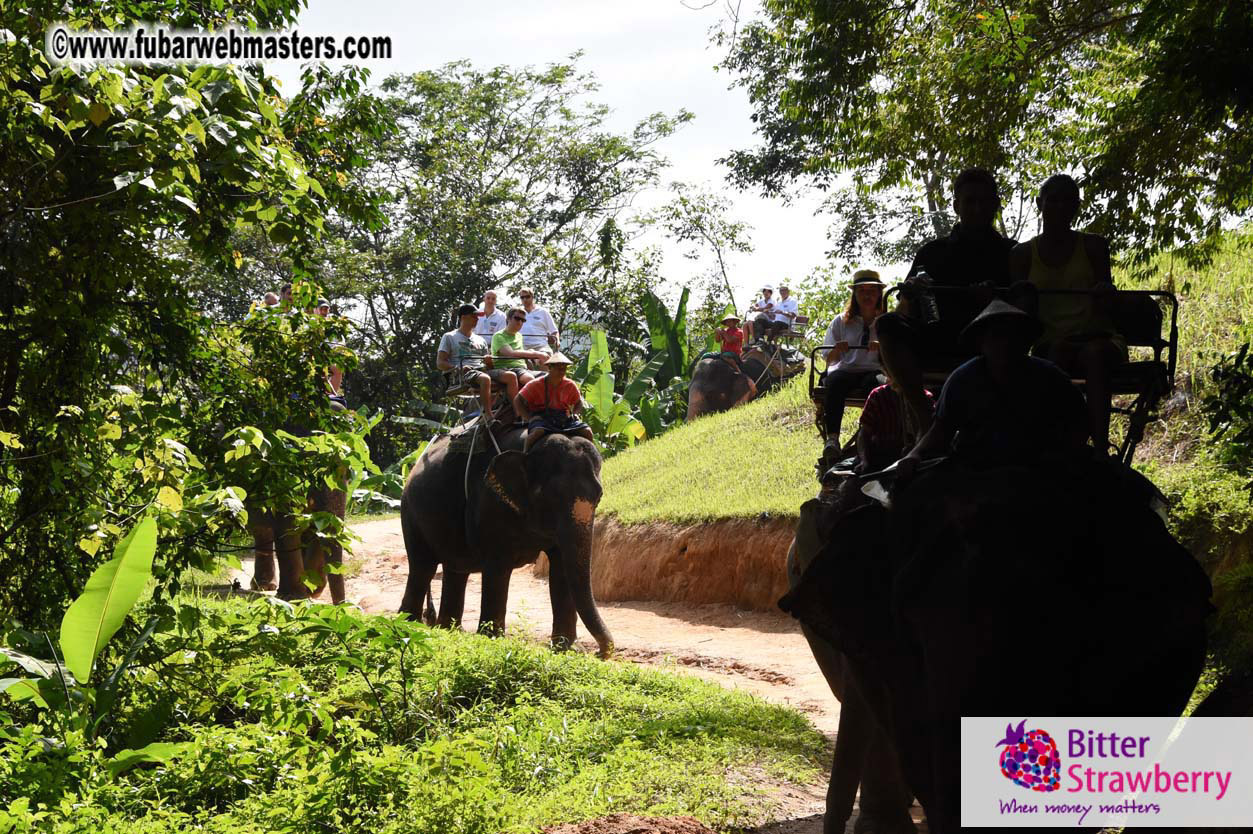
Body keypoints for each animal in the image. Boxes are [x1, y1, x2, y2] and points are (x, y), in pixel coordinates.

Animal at [398, 423, 613, 656]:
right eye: (549, 496)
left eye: (599, 496)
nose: (598, 652)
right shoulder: (489, 503)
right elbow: (498, 568)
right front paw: (491, 640)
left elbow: (561, 569)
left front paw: (565, 648)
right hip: (410, 513)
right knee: (422, 568)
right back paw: (407, 626)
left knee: (456, 570)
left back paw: (449, 630)